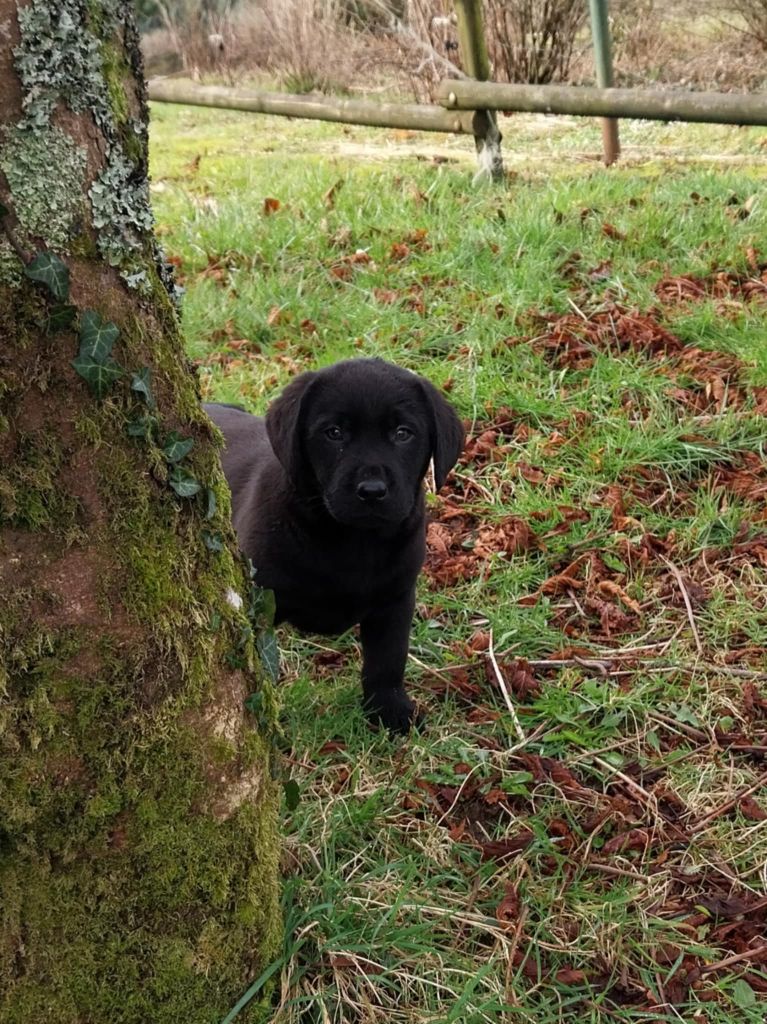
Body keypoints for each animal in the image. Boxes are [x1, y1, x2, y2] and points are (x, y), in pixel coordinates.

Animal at [203, 356, 462, 733]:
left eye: (403, 433)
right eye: (334, 433)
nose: (372, 491)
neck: (353, 539)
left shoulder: (396, 597)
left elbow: (388, 658)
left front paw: (389, 709)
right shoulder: (259, 597)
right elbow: (259, 661)